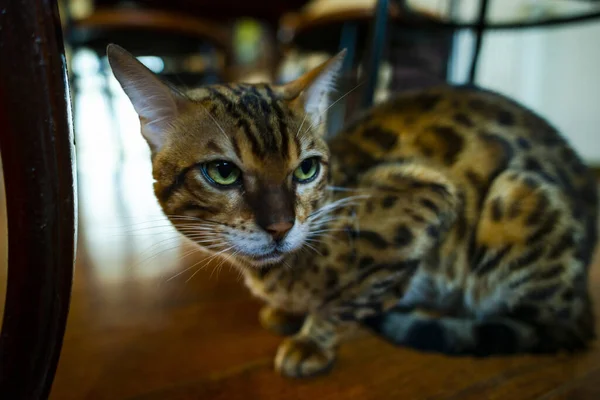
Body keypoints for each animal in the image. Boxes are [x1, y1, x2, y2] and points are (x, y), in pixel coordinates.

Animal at [109, 43, 600, 378]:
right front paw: (289, 313)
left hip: (517, 194)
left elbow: (350, 300)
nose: (281, 226)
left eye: (306, 168)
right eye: (222, 173)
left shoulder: (430, 199)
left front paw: (313, 339)